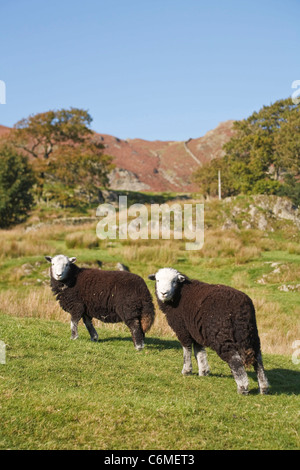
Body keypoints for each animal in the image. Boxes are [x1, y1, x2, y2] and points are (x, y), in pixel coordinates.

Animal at [149, 266, 268, 394]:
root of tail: (241, 308)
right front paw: (204, 371)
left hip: (221, 335)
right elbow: (199, 351)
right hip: (251, 332)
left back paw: (243, 388)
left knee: (234, 359)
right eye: (157, 280)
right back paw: (263, 388)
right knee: (258, 358)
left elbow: (187, 350)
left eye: (174, 281)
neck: (178, 295)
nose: (163, 293)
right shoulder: (196, 330)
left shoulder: (183, 329)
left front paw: (187, 371)